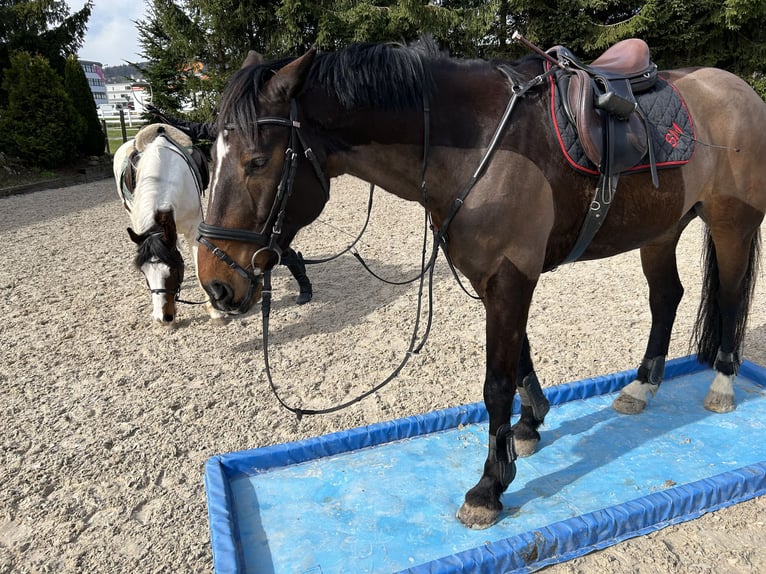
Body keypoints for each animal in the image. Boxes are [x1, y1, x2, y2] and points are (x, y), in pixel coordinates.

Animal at [194, 37, 766, 532]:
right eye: (211, 158)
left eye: (257, 161)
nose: (216, 284)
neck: (474, 143)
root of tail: (740, 90)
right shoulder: (500, 277)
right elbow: (520, 361)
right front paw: (530, 425)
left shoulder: (510, 277)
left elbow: (496, 383)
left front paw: (490, 485)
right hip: (661, 229)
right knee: (666, 298)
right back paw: (642, 387)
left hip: (731, 225)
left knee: (731, 296)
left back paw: (721, 384)